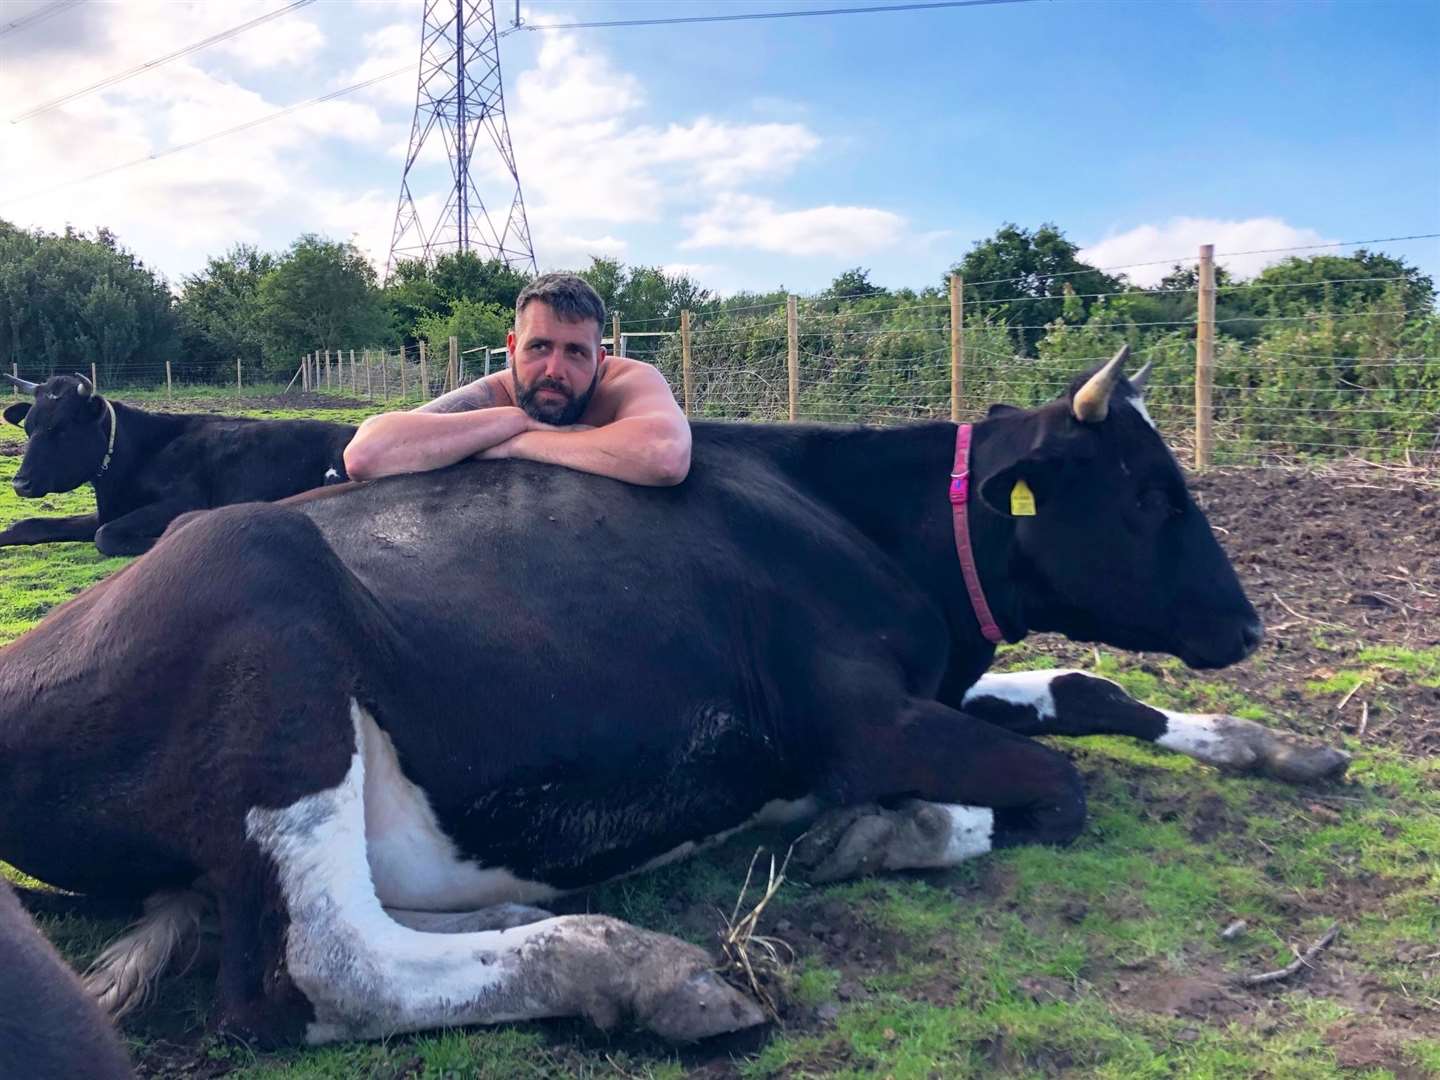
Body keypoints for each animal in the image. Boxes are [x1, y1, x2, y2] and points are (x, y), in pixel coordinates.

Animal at [1, 374, 355, 558]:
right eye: (29, 427)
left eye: (61, 428)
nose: (20, 483)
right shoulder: (109, 511)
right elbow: (29, 525)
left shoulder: (183, 500)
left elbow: (106, 536)